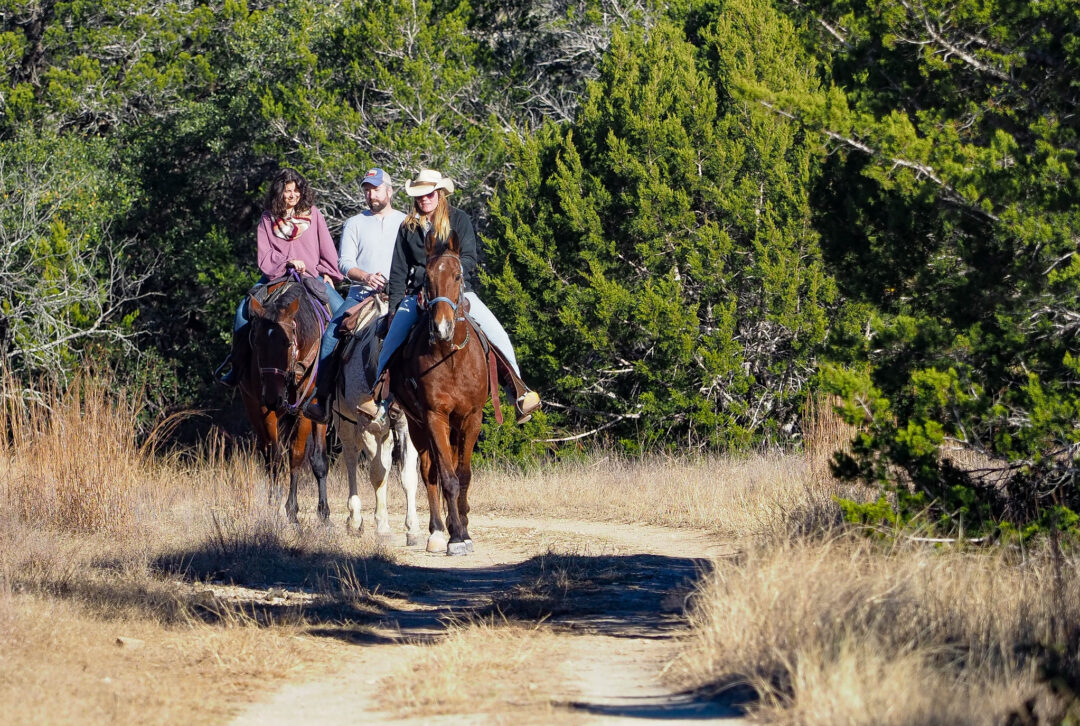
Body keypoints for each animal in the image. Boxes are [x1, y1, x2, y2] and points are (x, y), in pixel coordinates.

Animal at [238, 273, 332, 524]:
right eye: (256, 343)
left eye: (287, 342)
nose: (273, 397)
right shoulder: (263, 410)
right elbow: (275, 458)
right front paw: (278, 505)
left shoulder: (305, 410)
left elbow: (300, 457)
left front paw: (301, 511)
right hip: (253, 409)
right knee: (268, 455)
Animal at [331, 293, 422, 544]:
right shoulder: (367, 427)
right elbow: (377, 474)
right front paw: (382, 527)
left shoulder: (406, 427)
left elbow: (407, 476)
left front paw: (413, 529)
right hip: (345, 424)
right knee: (351, 459)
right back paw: (354, 519)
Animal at [388, 230, 490, 555]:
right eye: (427, 278)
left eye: (458, 276)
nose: (442, 327)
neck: (451, 356)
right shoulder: (435, 418)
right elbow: (446, 478)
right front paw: (454, 535)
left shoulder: (471, 419)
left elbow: (464, 476)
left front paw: (465, 531)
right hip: (416, 426)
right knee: (428, 472)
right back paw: (436, 531)